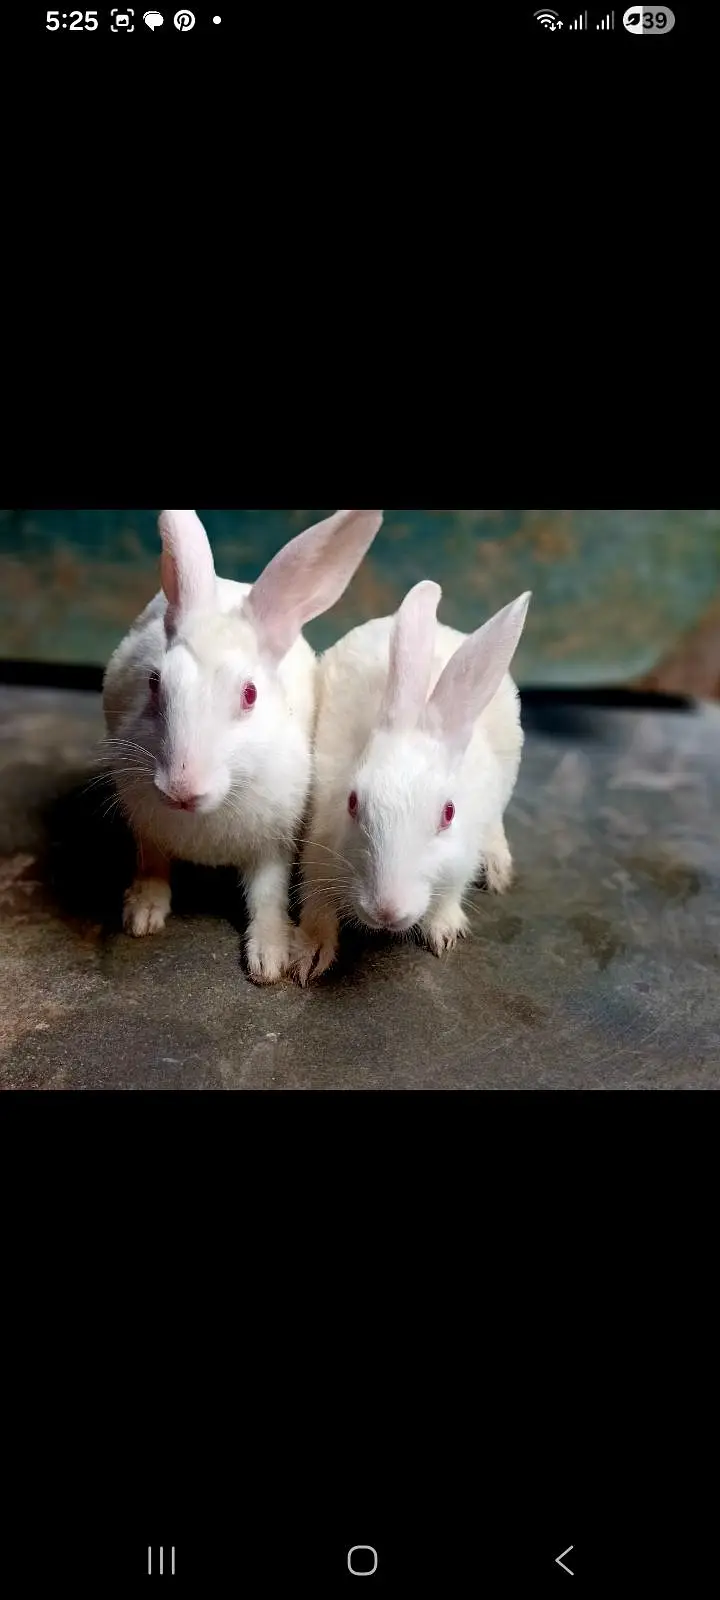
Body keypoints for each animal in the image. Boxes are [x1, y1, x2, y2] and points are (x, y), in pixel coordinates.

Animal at [102, 507, 384, 982]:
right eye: (155, 683)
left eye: (249, 694)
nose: (181, 789)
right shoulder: (146, 825)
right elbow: (153, 864)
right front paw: (142, 914)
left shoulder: (273, 845)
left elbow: (267, 896)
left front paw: (270, 958)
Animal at [292, 579, 531, 984]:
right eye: (353, 803)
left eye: (448, 813)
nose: (386, 911)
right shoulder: (319, 848)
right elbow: (316, 900)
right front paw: (310, 954)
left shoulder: (459, 859)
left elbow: (449, 894)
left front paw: (443, 932)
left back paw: (498, 868)